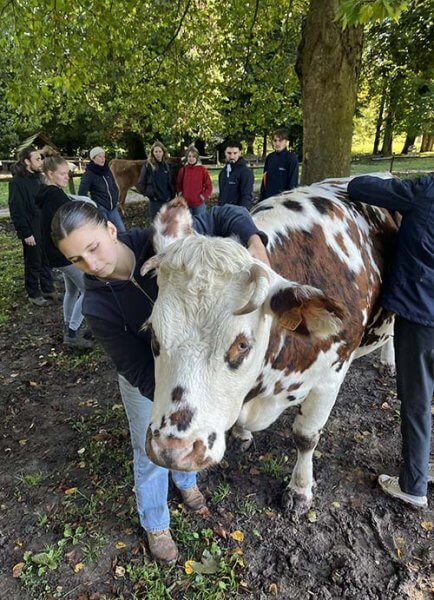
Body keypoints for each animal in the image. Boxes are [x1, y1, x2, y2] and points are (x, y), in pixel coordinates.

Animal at [141, 176, 398, 512]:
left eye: (241, 345)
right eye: (153, 336)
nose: (173, 449)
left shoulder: (331, 376)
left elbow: (306, 437)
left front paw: (300, 490)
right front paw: (241, 433)